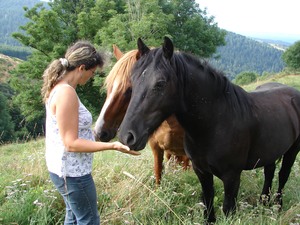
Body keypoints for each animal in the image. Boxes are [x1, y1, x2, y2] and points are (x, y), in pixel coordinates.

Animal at [119, 36, 300, 221]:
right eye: (133, 79)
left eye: (160, 83)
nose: (127, 136)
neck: (216, 123)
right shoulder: (202, 172)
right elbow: (208, 204)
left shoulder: (232, 177)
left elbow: (228, 209)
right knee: (269, 172)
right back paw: (263, 204)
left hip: (293, 151)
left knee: (283, 175)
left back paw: (277, 208)